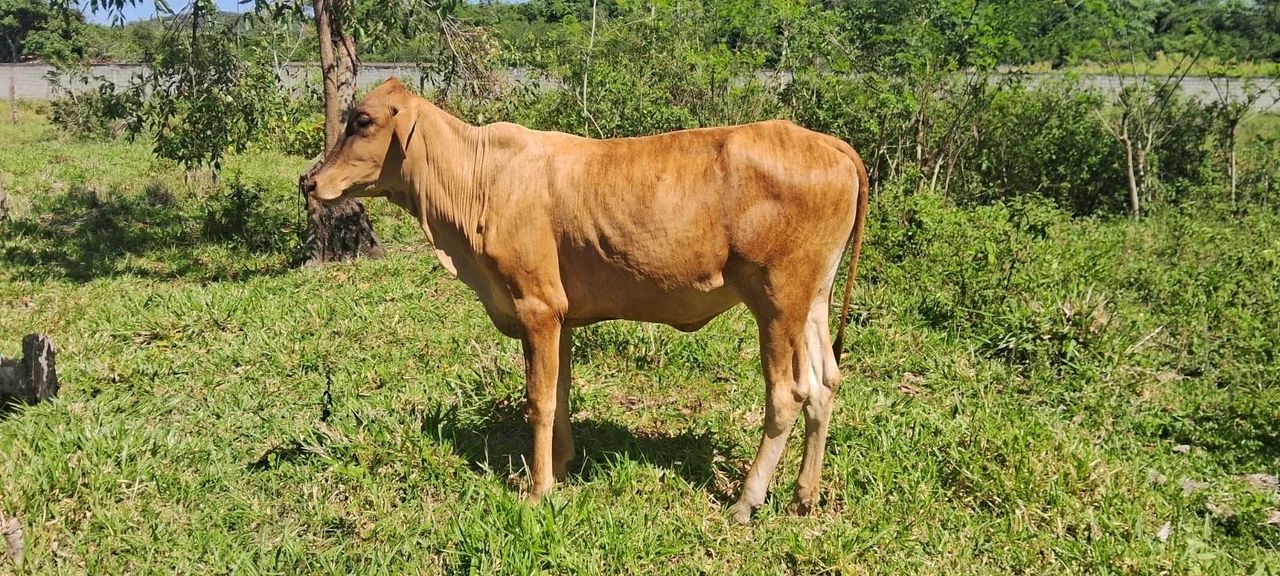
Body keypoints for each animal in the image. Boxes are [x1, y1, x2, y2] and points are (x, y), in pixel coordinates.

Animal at [303, 78, 869, 524]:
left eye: (362, 121)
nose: (308, 180)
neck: (480, 183)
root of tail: (825, 141)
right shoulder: (562, 315)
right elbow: (562, 392)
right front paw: (564, 465)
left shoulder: (536, 306)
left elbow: (538, 398)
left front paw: (538, 490)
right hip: (812, 300)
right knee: (824, 384)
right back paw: (803, 496)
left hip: (777, 300)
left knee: (788, 395)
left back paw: (748, 501)